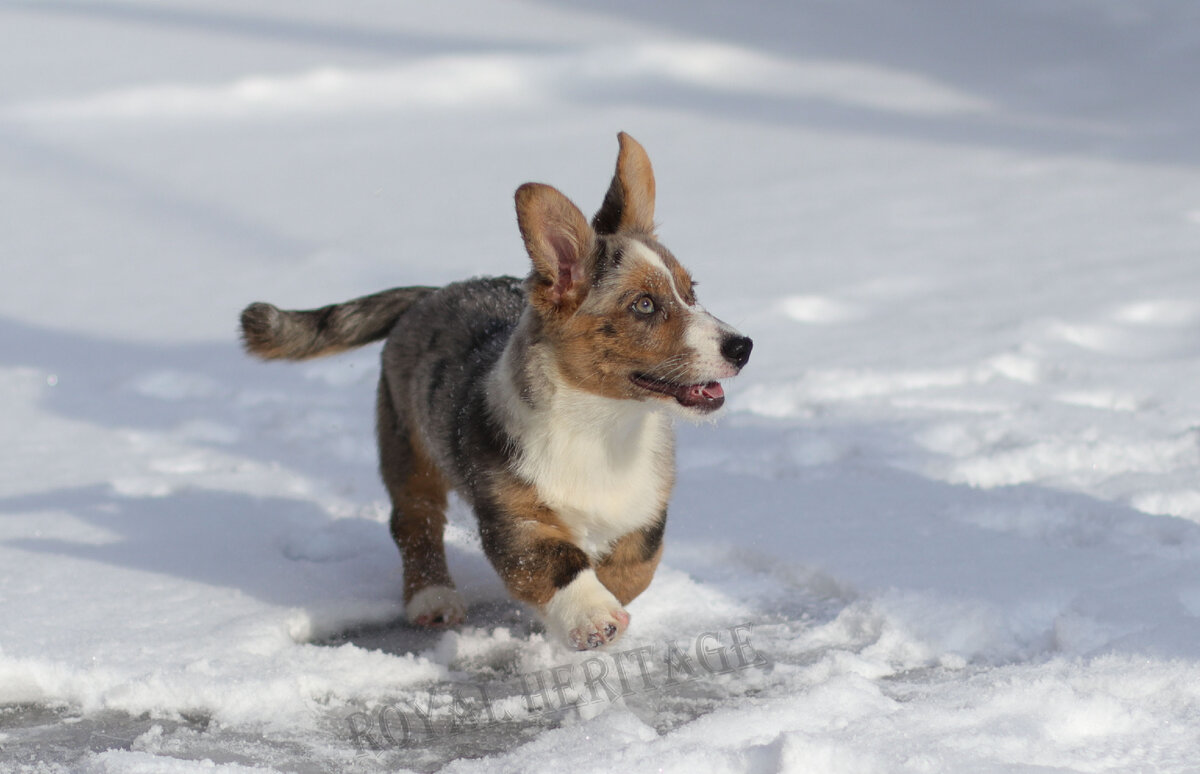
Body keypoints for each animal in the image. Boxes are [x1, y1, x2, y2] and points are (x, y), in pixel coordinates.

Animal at [238, 132, 748, 648]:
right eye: (644, 305)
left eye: (691, 291)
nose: (743, 347)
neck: (602, 425)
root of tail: (431, 293)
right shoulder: (515, 520)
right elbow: (560, 564)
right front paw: (593, 616)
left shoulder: (644, 511)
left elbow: (634, 567)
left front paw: (598, 606)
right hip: (407, 448)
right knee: (415, 522)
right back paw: (432, 598)